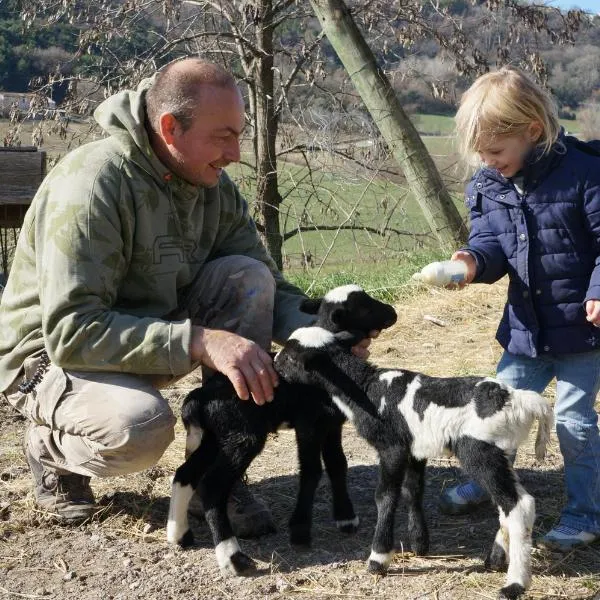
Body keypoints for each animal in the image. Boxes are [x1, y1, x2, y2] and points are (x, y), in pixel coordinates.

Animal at [166, 284, 398, 576]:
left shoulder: (331, 423)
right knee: (211, 486)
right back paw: (233, 558)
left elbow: (337, 463)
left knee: (184, 474)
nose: (393, 312)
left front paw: (346, 517)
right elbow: (311, 470)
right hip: (242, 437)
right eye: (365, 308)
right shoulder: (308, 423)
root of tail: (200, 396)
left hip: (214, 437)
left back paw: (179, 535)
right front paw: (299, 530)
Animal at [274, 296, 552, 600]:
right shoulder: (416, 448)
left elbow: (385, 496)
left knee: (519, 505)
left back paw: (515, 583)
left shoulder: (392, 446)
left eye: (291, 356)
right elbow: (412, 490)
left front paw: (378, 559)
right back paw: (496, 560)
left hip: (480, 451)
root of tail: (522, 401)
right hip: (503, 453)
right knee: (507, 504)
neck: (366, 389)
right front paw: (419, 544)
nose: (274, 363)